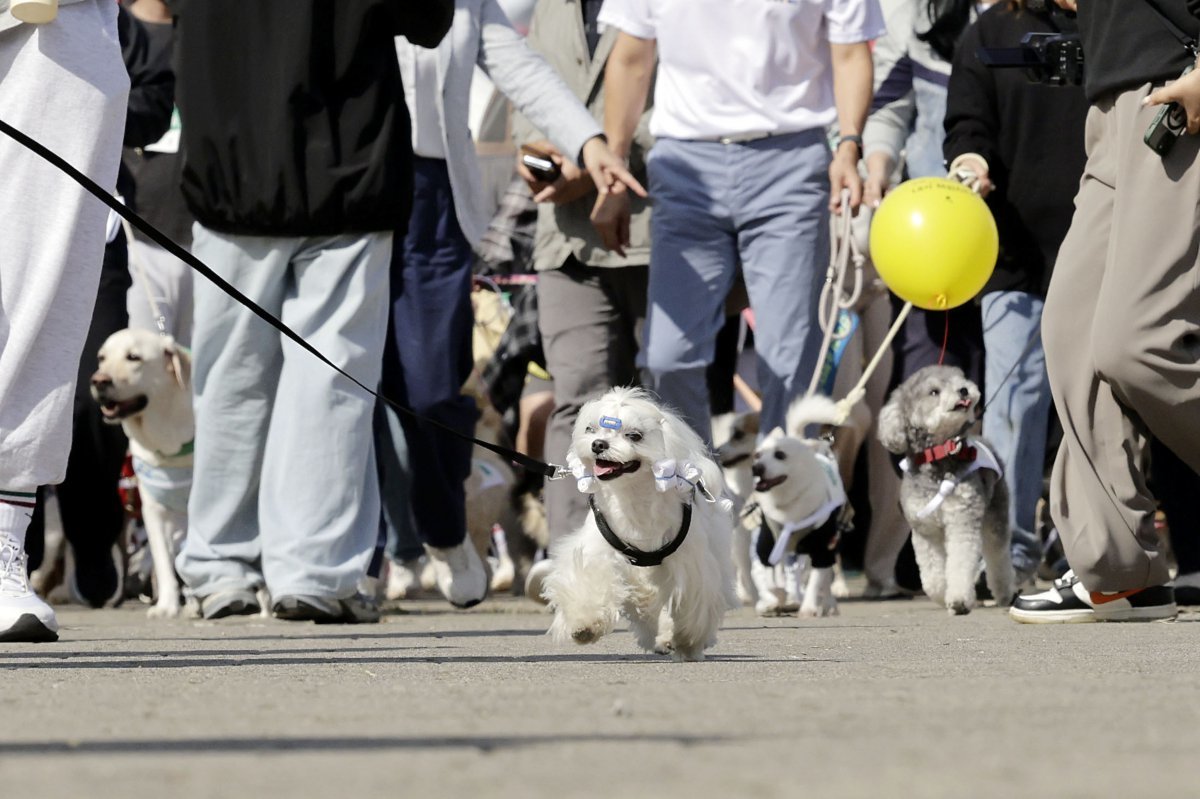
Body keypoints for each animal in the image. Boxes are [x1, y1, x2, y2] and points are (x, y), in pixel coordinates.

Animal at [90, 326, 192, 619]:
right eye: (102, 358)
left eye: (134, 357)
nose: (98, 381)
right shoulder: (152, 510)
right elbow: (163, 561)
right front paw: (167, 605)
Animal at [540, 386, 734, 657]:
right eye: (591, 429)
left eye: (634, 435)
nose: (598, 444)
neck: (633, 496)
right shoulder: (597, 552)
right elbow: (591, 579)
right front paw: (585, 625)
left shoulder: (689, 563)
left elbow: (687, 598)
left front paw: (686, 640)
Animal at [753, 393, 849, 614]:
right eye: (757, 455)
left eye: (780, 455)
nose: (756, 467)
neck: (786, 504)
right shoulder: (767, 545)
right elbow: (768, 579)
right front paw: (776, 596)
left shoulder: (822, 547)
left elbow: (815, 580)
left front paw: (809, 607)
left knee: (822, 578)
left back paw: (828, 605)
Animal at [873, 364, 1012, 611]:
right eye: (934, 392)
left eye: (960, 378)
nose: (964, 390)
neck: (940, 454)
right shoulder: (925, 531)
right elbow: (932, 574)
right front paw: (941, 594)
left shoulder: (962, 520)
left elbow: (961, 563)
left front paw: (958, 600)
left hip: (995, 514)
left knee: (998, 555)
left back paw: (1004, 593)